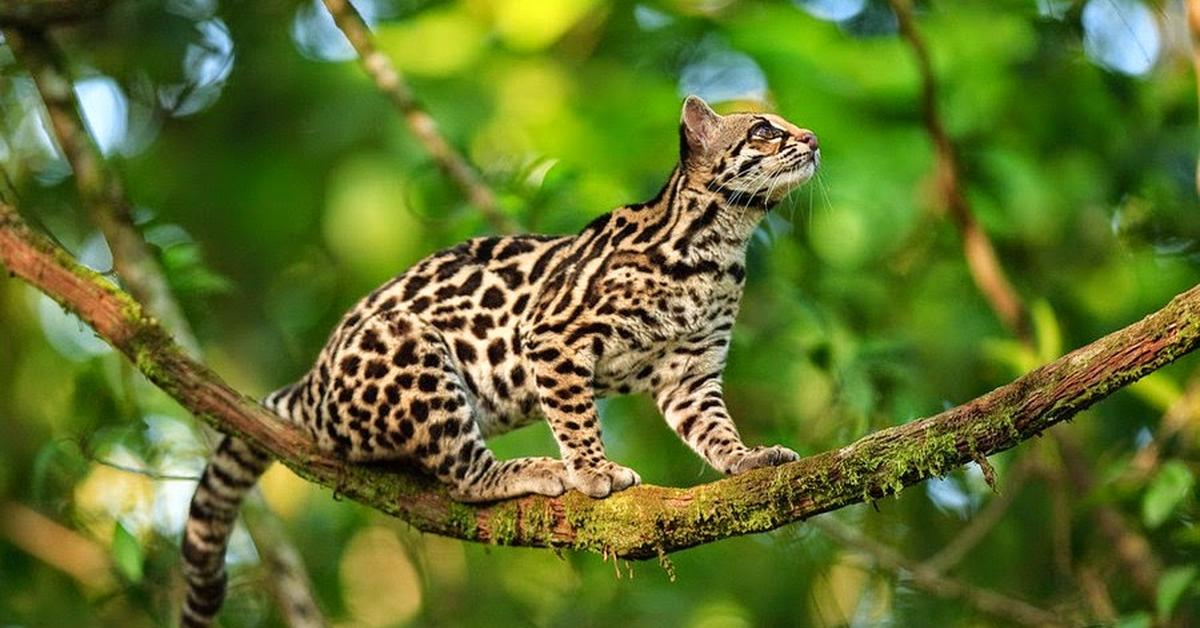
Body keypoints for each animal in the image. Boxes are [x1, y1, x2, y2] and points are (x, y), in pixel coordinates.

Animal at [180, 96, 816, 624]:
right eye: (763, 130)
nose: (811, 138)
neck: (718, 246)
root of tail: (311, 384)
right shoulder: (552, 336)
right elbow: (576, 419)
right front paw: (594, 469)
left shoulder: (693, 373)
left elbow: (714, 430)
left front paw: (748, 459)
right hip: (415, 350)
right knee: (462, 475)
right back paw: (531, 469)